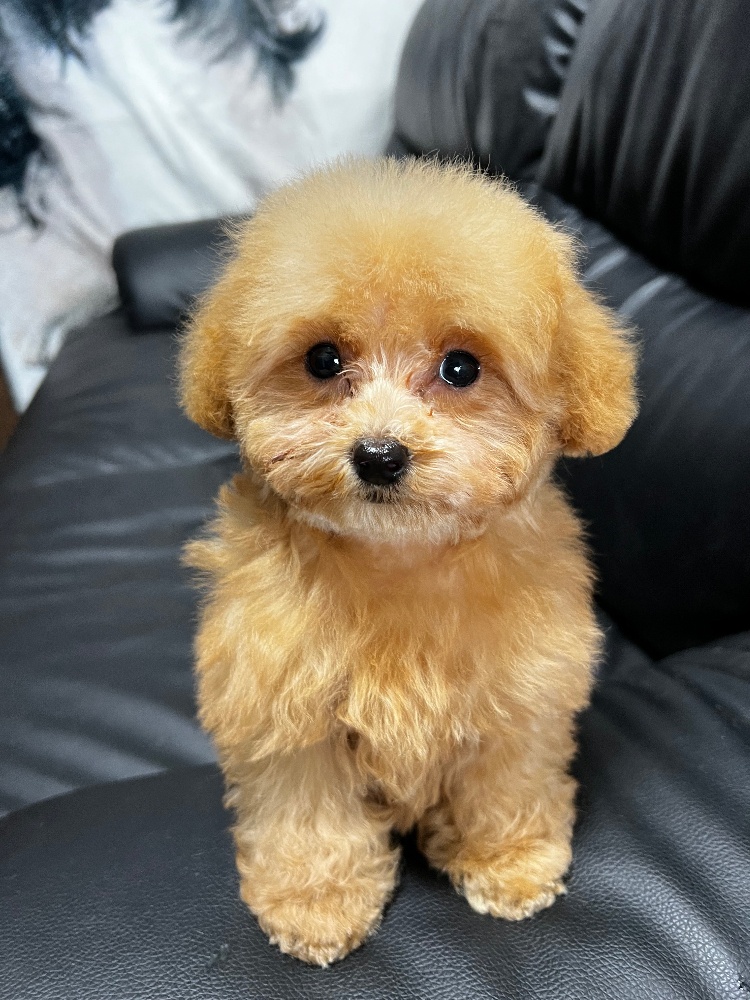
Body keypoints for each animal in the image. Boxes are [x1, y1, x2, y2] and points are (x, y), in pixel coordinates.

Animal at [179, 157, 637, 966]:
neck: (398, 559)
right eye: (323, 360)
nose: (379, 455)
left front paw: (508, 863)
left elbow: (507, 783)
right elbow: (309, 816)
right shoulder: (287, 709)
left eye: (460, 368)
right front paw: (318, 905)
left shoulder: (519, 697)